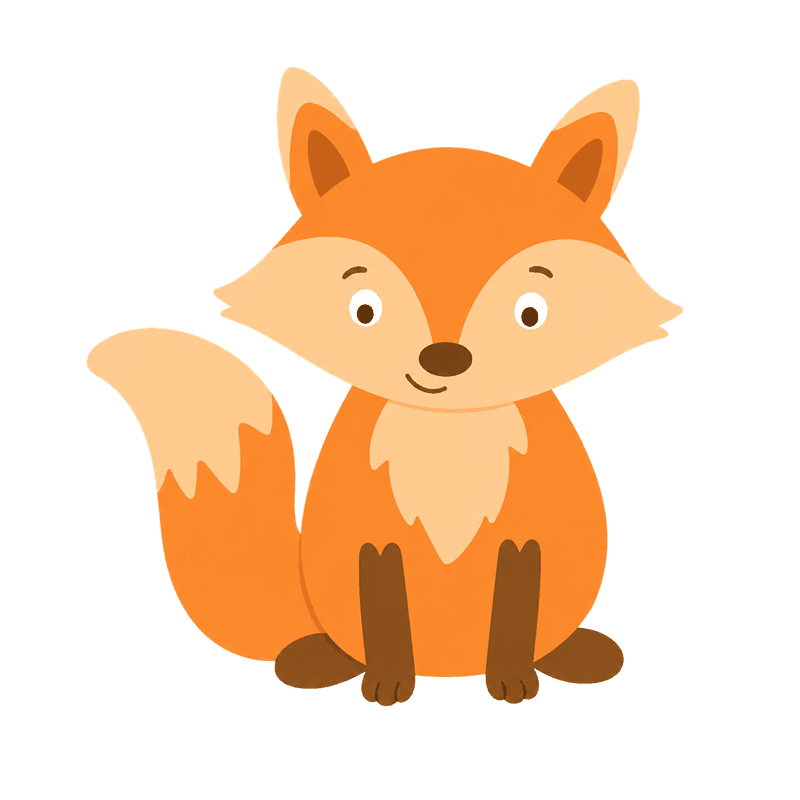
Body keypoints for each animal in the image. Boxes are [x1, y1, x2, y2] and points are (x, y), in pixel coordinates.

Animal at [87, 67, 682, 706]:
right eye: (364, 310)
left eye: (531, 313)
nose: (444, 359)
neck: (449, 443)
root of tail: (451, 667)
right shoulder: (369, 538)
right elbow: (382, 603)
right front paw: (390, 680)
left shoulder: (528, 538)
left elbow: (516, 607)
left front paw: (511, 677)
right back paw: (318, 661)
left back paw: (577, 655)